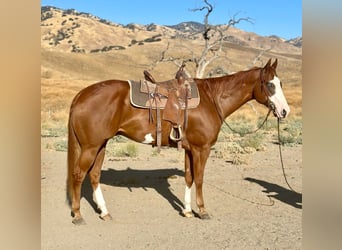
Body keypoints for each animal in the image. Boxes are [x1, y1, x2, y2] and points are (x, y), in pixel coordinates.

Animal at [66, 58, 288, 225]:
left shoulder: (190, 149)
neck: (212, 99)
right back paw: (77, 215)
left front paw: (188, 211)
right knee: (78, 175)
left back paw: (104, 212)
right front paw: (202, 211)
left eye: (280, 83)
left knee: (94, 175)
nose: (285, 111)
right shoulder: (202, 149)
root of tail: (81, 95)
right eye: (270, 84)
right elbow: (199, 179)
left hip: (100, 145)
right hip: (91, 147)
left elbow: (189, 177)